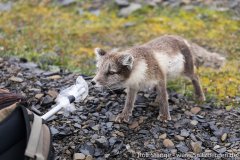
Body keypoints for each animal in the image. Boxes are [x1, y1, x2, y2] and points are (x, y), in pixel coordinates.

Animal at [91, 34, 226, 122]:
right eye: (98, 69)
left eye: (111, 72)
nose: (92, 82)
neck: (140, 70)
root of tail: (181, 38)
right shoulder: (133, 86)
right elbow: (129, 102)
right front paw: (124, 115)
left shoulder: (160, 78)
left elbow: (163, 98)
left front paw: (165, 116)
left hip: (186, 70)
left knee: (195, 77)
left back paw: (199, 96)